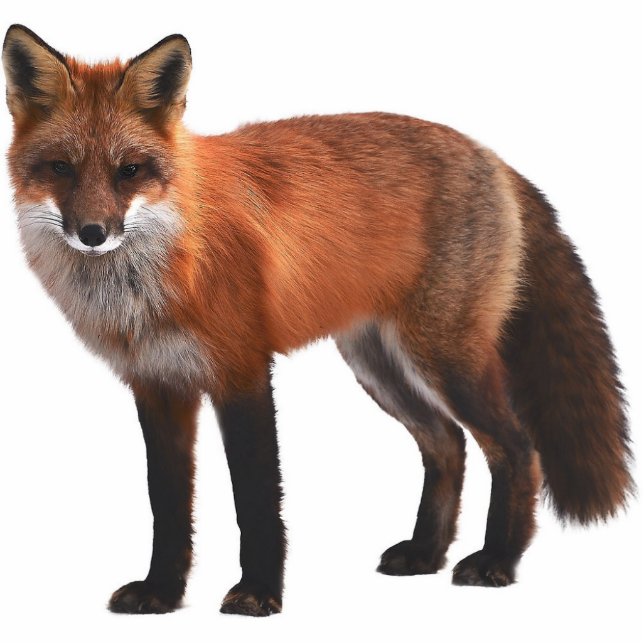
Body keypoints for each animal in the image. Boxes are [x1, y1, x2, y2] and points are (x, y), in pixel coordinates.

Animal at [2, 24, 634, 617]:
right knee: (447, 444)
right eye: (60, 168)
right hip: (378, 365)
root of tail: (491, 156)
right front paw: (162, 592)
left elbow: (256, 499)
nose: (92, 233)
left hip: (444, 358)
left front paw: (258, 594)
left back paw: (498, 560)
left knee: (517, 449)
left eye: (129, 170)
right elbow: (168, 505)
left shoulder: (242, 372)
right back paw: (426, 553)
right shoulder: (158, 386)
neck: (165, 267)